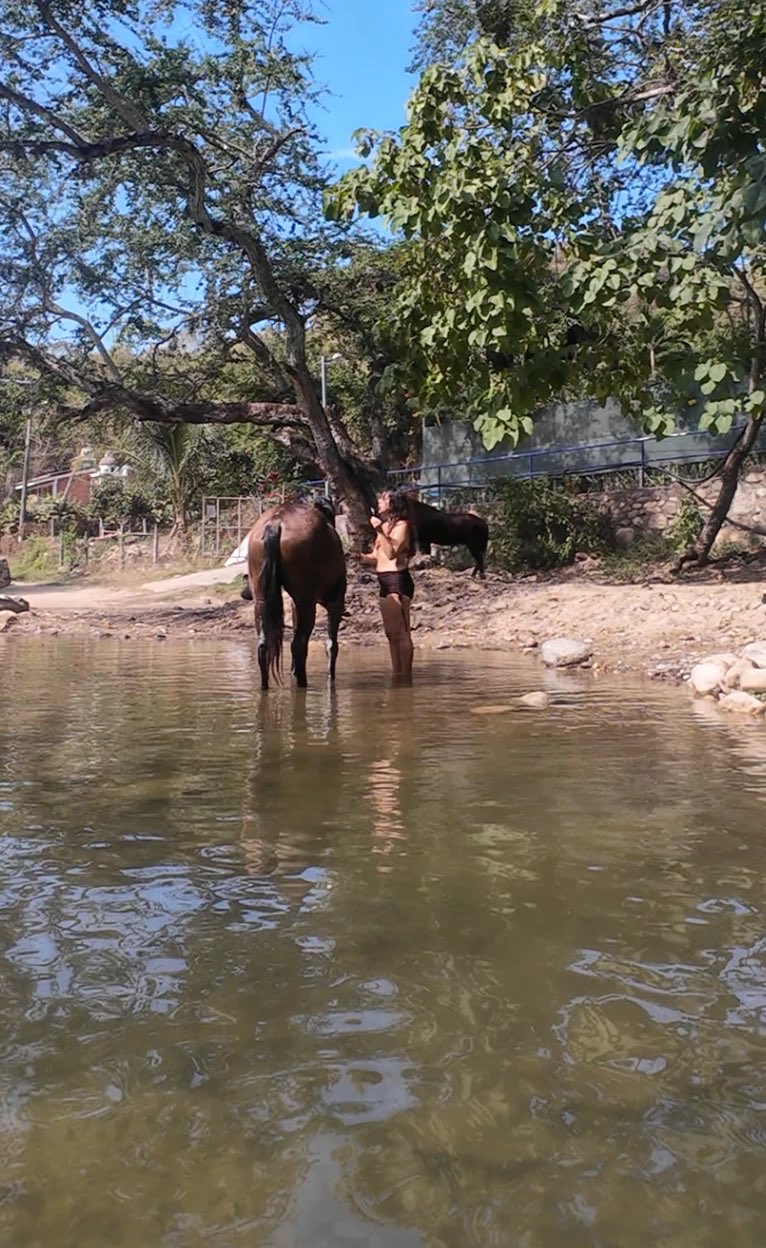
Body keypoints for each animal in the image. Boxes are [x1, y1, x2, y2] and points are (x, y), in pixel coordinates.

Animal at [246, 500, 347, 690]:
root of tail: (275, 523)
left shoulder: (294, 603)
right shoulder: (336, 600)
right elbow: (331, 645)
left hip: (261, 599)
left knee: (264, 646)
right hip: (307, 601)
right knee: (299, 645)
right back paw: (301, 683)